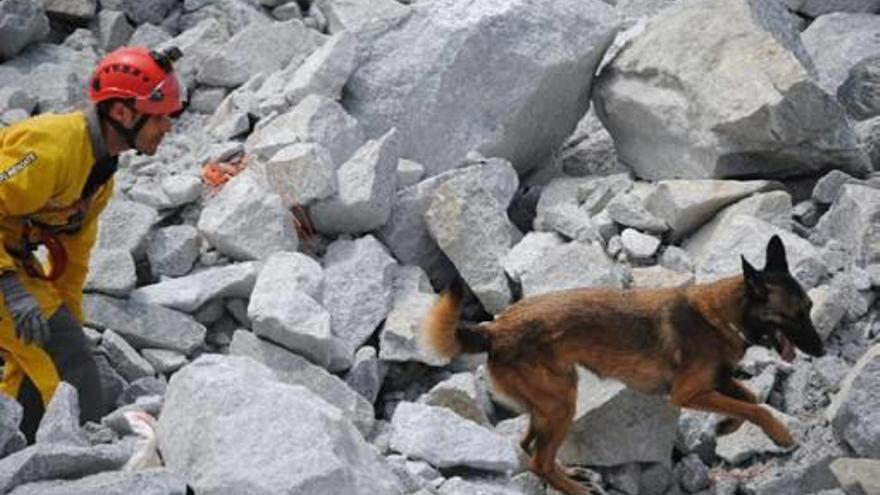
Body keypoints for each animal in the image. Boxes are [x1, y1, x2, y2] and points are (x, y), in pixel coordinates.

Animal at [424, 234, 824, 494]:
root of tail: (495, 329)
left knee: (530, 447)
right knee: (539, 459)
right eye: (794, 315)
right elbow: (756, 408)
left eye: (810, 309)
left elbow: (750, 400)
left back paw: (569, 474)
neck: (722, 316)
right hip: (561, 402)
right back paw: (576, 489)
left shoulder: (717, 381)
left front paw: (727, 425)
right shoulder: (688, 393)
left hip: (548, 404)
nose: (820, 350)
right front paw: (778, 432)